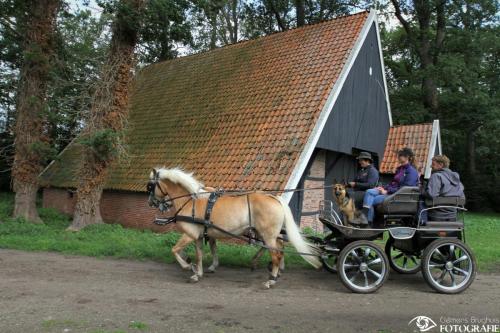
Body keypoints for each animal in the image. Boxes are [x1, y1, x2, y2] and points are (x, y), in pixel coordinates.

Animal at [147, 167, 320, 286]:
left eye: (150, 186)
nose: (151, 203)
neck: (191, 200)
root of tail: (274, 197)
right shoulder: (198, 236)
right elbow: (199, 255)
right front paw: (197, 272)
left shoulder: (189, 234)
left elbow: (175, 250)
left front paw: (188, 266)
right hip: (269, 234)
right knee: (279, 248)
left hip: (268, 235)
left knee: (276, 254)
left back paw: (271, 279)